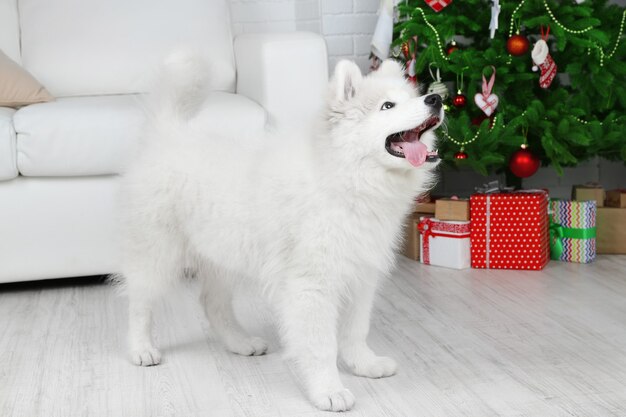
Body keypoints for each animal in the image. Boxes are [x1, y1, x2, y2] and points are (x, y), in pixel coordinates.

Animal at [118, 53, 444, 412]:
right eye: (387, 106)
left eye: (415, 96)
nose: (436, 99)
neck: (344, 177)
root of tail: (168, 133)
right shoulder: (311, 285)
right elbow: (320, 346)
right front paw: (328, 391)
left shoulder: (360, 276)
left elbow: (356, 331)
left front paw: (364, 364)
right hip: (158, 251)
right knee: (139, 302)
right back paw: (141, 349)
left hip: (223, 254)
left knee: (212, 303)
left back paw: (240, 342)